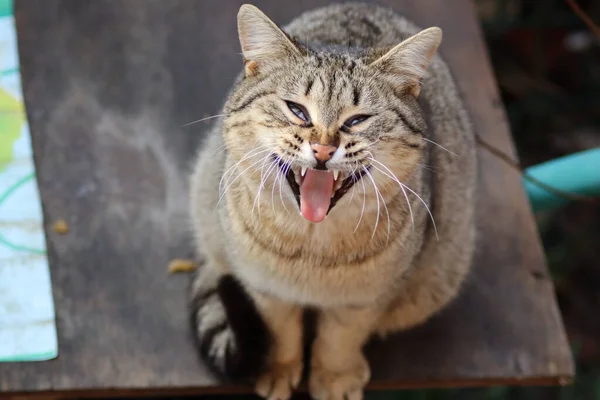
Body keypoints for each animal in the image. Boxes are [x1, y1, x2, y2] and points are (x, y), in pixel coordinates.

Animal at [190, 3, 476, 400]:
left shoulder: (366, 298)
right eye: (297, 110)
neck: (312, 247)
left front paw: (334, 377)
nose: (323, 149)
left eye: (357, 120)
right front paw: (279, 369)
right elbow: (281, 331)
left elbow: (340, 338)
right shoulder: (265, 288)